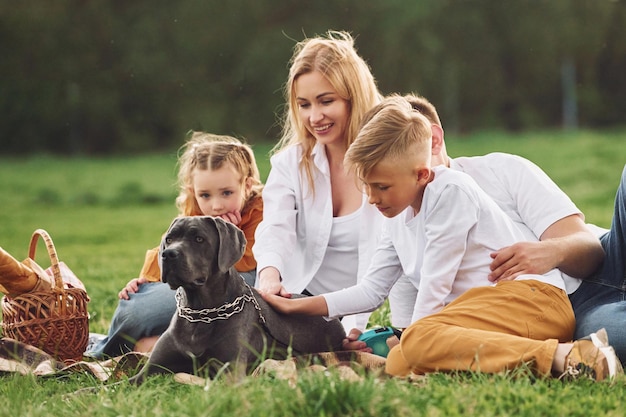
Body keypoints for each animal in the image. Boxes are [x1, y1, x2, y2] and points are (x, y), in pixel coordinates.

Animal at [130, 216, 346, 382]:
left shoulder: (231, 369)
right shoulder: (150, 368)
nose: (168, 254)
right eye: (169, 238)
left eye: (199, 239)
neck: (200, 312)